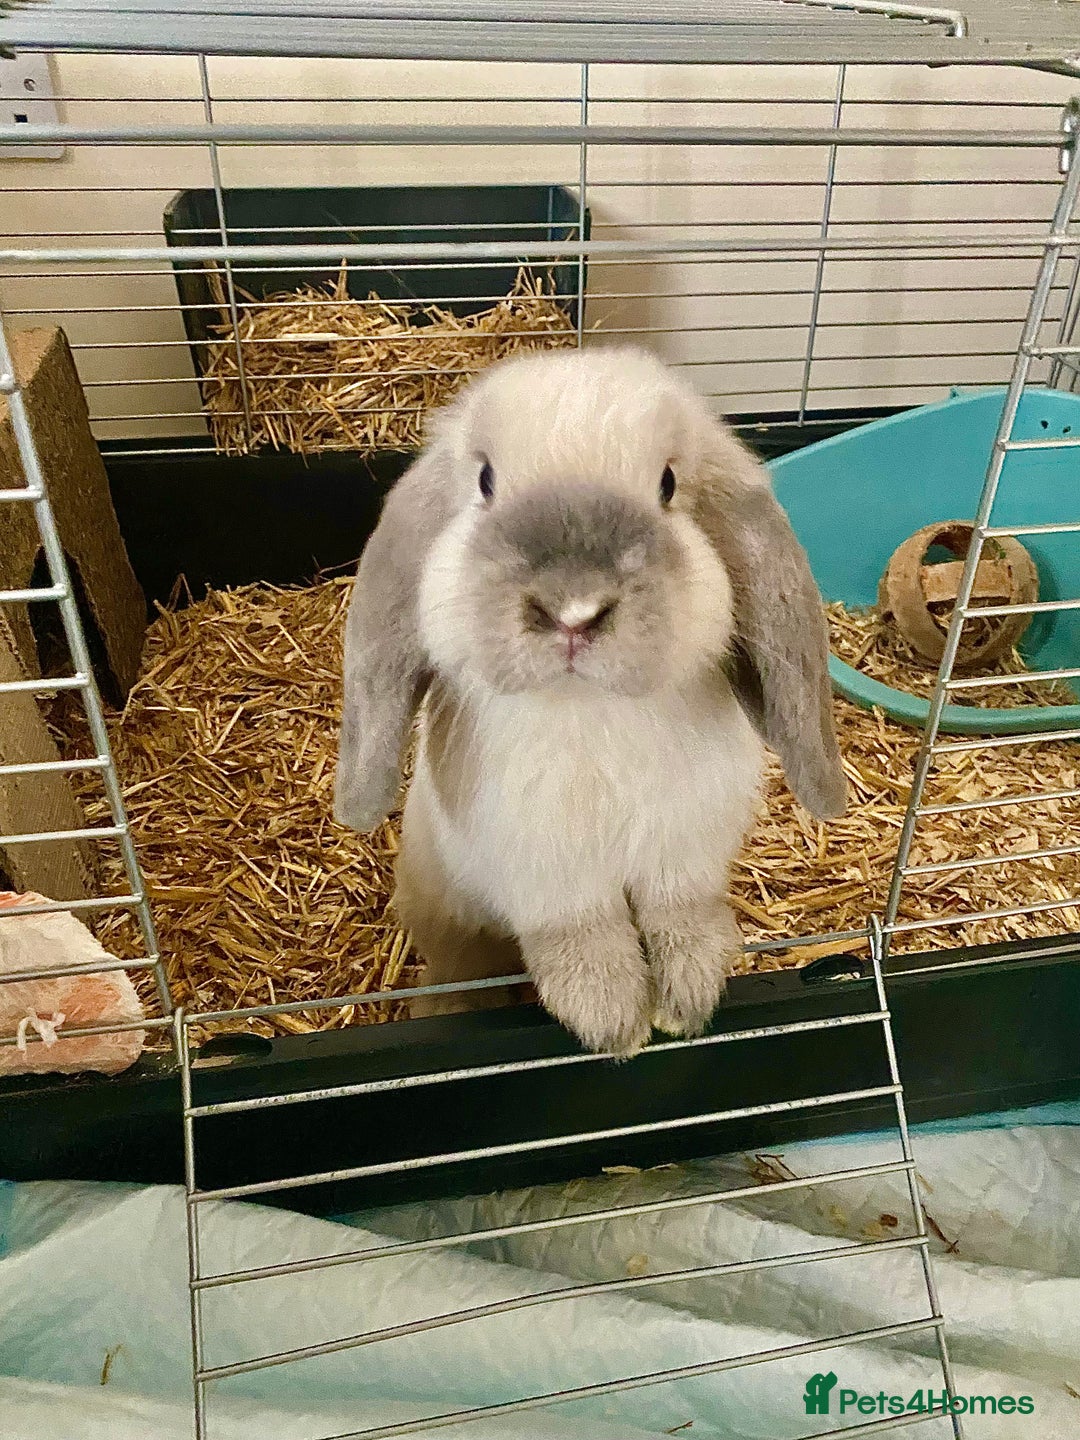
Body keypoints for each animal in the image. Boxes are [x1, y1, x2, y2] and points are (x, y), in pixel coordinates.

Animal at [333, 347, 846, 1056]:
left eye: (668, 484)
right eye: (485, 481)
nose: (573, 610)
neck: (590, 706)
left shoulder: (684, 848)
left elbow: (679, 910)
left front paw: (689, 995)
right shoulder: (547, 866)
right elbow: (580, 931)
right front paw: (612, 1018)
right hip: (447, 918)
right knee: (461, 974)